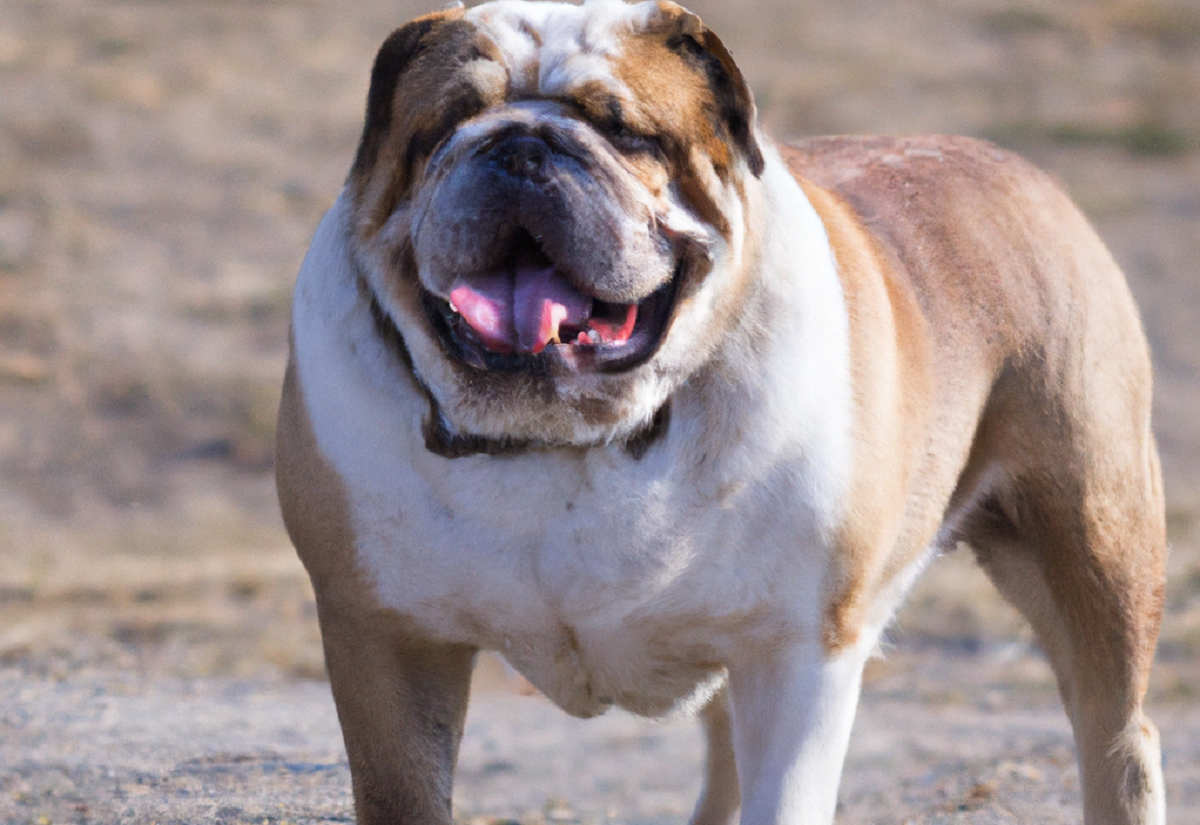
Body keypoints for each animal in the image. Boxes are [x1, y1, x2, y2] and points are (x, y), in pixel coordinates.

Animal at [276, 3, 1166, 820]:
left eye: (624, 130)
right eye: (444, 127)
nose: (520, 143)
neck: (574, 434)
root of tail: (1021, 170)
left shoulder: (797, 652)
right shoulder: (384, 638)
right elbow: (401, 790)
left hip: (1092, 543)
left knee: (1117, 733)